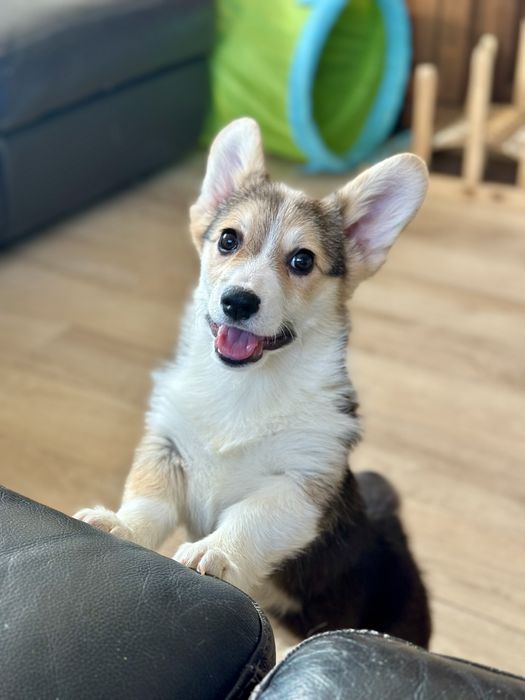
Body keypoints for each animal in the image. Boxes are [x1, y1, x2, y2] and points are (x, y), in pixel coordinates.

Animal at [75, 118, 431, 647]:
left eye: (302, 260)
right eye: (228, 240)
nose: (238, 301)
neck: (241, 389)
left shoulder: (300, 485)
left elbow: (251, 517)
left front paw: (215, 553)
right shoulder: (167, 449)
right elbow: (148, 502)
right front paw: (119, 525)